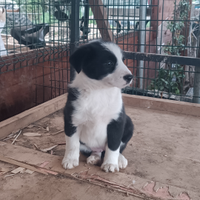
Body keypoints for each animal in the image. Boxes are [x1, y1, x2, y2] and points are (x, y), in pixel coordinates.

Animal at [62, 39, 134, 172]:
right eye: (109, 63)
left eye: (123, 60)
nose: (130, 77)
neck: (99, 91)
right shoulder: (71, 121)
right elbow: (72, 144)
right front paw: (70, 160)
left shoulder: (116, 122)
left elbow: (113, 145)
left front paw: (110, 164)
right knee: (95, 151)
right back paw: (94, 157)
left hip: (129, 124)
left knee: (117, 148)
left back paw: (120, 159)